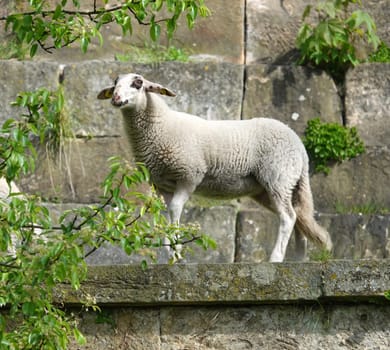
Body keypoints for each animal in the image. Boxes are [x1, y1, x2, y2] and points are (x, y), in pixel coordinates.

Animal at [97, 72, 332, 262]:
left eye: (137, 83)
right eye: (115, 83)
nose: (116, 98)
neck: (160, 126)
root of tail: (300, 148)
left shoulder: (190, 174)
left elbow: (175, 209)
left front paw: (176, 249)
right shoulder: (161, 183)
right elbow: (165, 215)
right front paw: (169, 250)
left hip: (278, 176)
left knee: (288, 217)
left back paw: (275, 259)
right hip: (274, 186)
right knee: (299, 216)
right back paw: (298, 259)